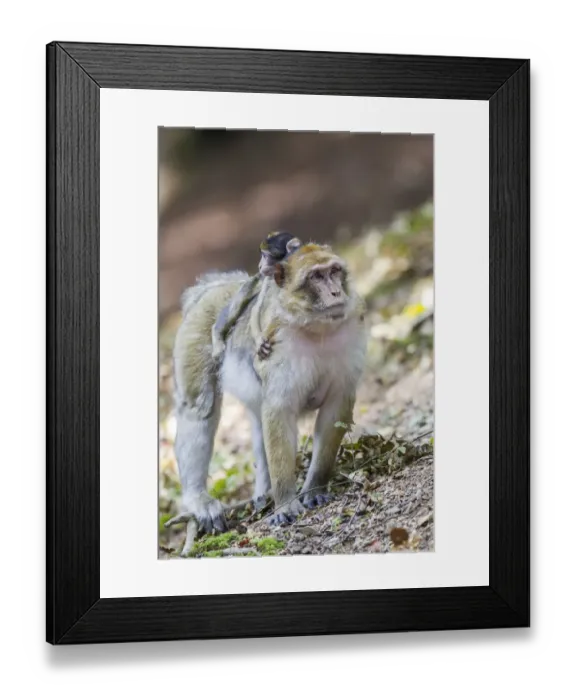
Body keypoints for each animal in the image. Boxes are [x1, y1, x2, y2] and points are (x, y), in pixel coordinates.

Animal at [210, 231, 302, 364]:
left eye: (266, 256)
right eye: (262, 255)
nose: (260, 266)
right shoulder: (269, 278)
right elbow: (256, 308)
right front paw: (259, 340)